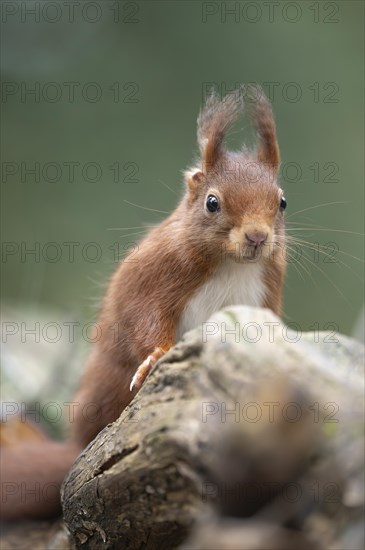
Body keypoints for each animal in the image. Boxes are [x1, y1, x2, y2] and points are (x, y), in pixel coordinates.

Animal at [0, 88, 284, 520]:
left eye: (282, 202)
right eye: (212, 203)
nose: (256, 236)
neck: (231, 264)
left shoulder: (266, 292)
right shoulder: (155, 273)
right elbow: (143, 317)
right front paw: (156, 356)